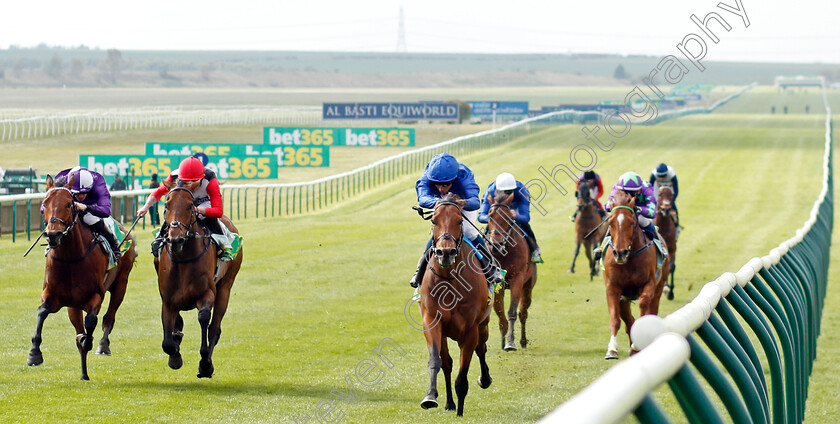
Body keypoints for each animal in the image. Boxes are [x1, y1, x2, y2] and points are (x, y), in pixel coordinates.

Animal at [28, 174, 136, 380]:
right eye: (45, 203)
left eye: (69, 204)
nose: (53, 235)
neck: (71, 259)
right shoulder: (53, 296)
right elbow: (41, 312)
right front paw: (34, 354)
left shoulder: (95, 296)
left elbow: (91, 322)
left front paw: (88, 341)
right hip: (73, 306)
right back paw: (84, 373)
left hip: (121, 283)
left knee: (109, 317)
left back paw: (102, 346)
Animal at [155, 178, 243, 378]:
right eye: (166, 204)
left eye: (190, 206)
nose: (175, 240)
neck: (183, 259)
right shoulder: (167, 300)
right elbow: (167, 342)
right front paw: (175, 356)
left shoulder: (207, 293)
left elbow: (204, 319)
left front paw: (204, 364)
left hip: (225, 287)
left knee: (214, 328)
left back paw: (207, 363)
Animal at [418, 193, 492, 418]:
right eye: (434, 221)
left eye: (459, 221)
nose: (445, 253)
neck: (449, 280)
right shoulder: (432, 322)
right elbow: (437, 362)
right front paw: (430, 397)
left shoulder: (470, 330)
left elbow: (463, 375)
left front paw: (460, 413)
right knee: (447, 363)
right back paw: (449, 403)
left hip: (483, 324)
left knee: (482, 349)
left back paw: (485, 380)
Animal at [482, 192, 536, 352]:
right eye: (490, 216)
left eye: (507, 218)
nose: (496, 244)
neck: (503, 253)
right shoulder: (497, 284)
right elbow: (500, 314)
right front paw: (503, 341)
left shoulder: (517, 279)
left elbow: (512, 312)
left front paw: (511, 342)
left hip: (528, 286)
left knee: (523, 313)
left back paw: (523, 341)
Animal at [604, 190, 668, 360]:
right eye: (611, 223)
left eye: (631, 223)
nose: (620, 253)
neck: (629, 258)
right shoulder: (612, 288)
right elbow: (614, 319)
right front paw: (612, 349)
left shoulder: (649, 284)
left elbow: (644, 306)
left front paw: (635, 345)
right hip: (624, 298)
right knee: (628, 319)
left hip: (659, 287)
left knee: (652, 310)